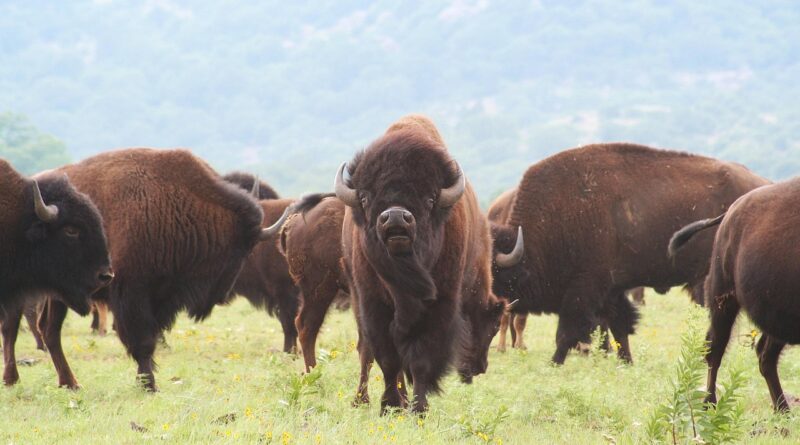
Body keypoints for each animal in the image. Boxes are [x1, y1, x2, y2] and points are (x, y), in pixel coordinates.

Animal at [490, 143, 768, 364]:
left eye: (494, 272)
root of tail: (762, 184)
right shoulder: (610, 291)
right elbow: (618, 327)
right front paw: (626, 361)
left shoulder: (583, 289)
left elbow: (567, 332)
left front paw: (554, 362)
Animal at [669, 178, 795, 412]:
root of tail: (730, 212)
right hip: (723, 301)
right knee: (715, 350)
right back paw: (710, 404)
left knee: (765, 355)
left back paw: (783, 410)